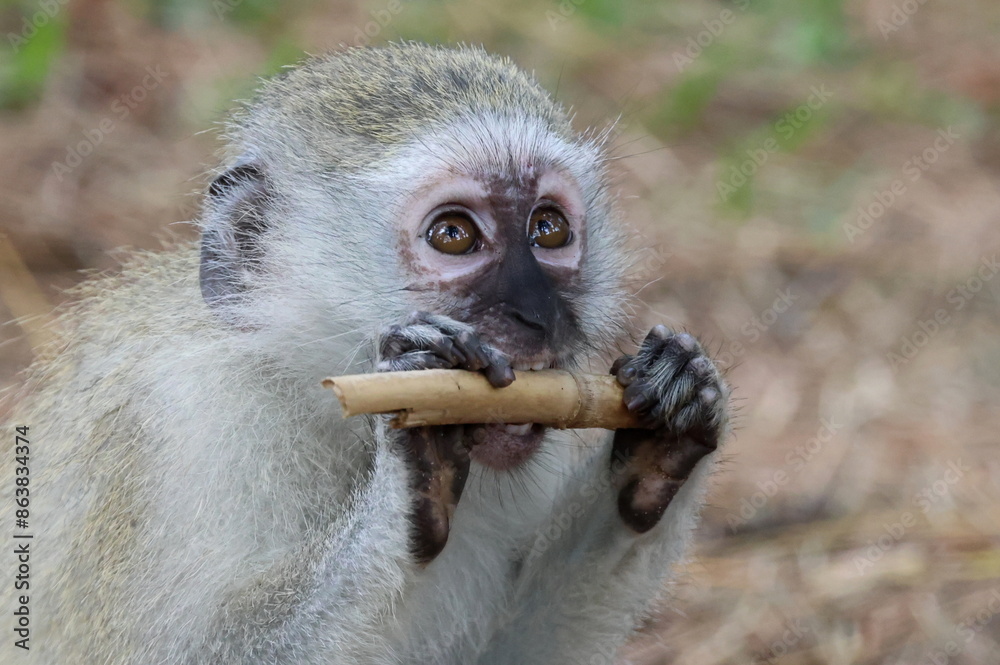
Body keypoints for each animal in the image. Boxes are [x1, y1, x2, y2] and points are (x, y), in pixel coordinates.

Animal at [1, 43, 728, 664]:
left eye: (548, 228)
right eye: (454, 235)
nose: (538, 315)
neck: (313, 396)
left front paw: (663, 439)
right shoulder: (192, 425)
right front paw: (415, 471)